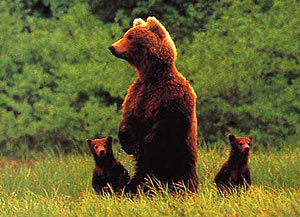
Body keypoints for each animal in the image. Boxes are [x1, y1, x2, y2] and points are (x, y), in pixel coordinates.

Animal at [109, 16, 198, 193]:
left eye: (130, 37)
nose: (112, 47)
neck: (151, 76)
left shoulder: (170, 95)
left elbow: (166, 124)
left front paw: (145, 144)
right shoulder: (136, 94)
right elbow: (128, 118)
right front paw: (128, 144)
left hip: (180, 157)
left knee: (180, 176)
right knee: (141, 177)